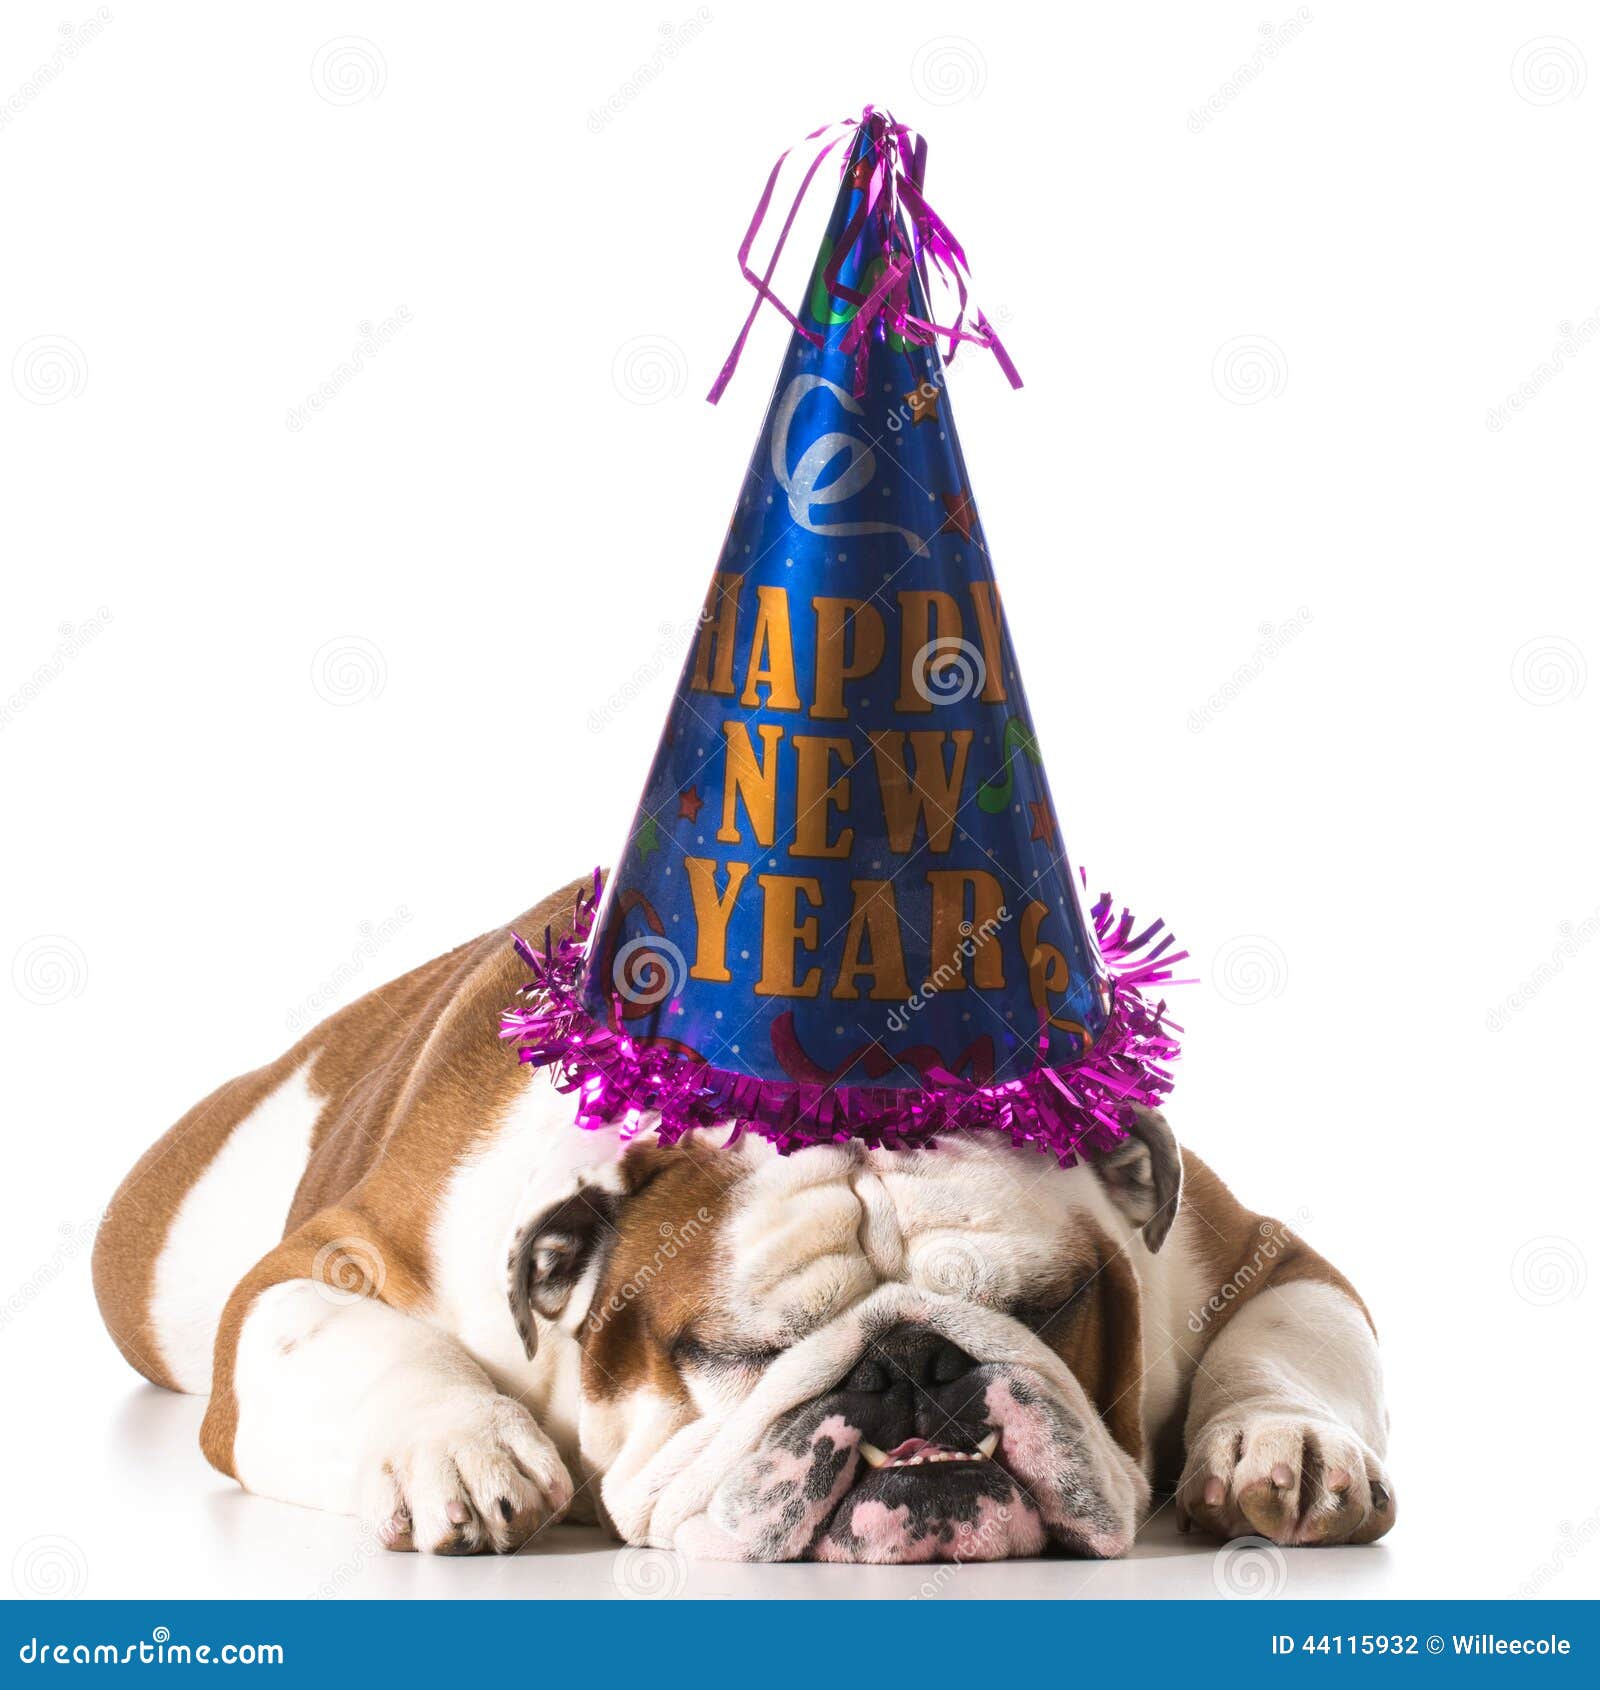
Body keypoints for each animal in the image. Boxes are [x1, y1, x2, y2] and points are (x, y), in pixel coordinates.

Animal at [90, 878, 1392, 1561]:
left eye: (1052, 1304)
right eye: (735, 1352)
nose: (909, 1365)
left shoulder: (1247, 1256)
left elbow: (1290, 1338)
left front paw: (1283, 1444)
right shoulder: (327, 1267)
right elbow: (347, 1338)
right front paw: (455, 1444)